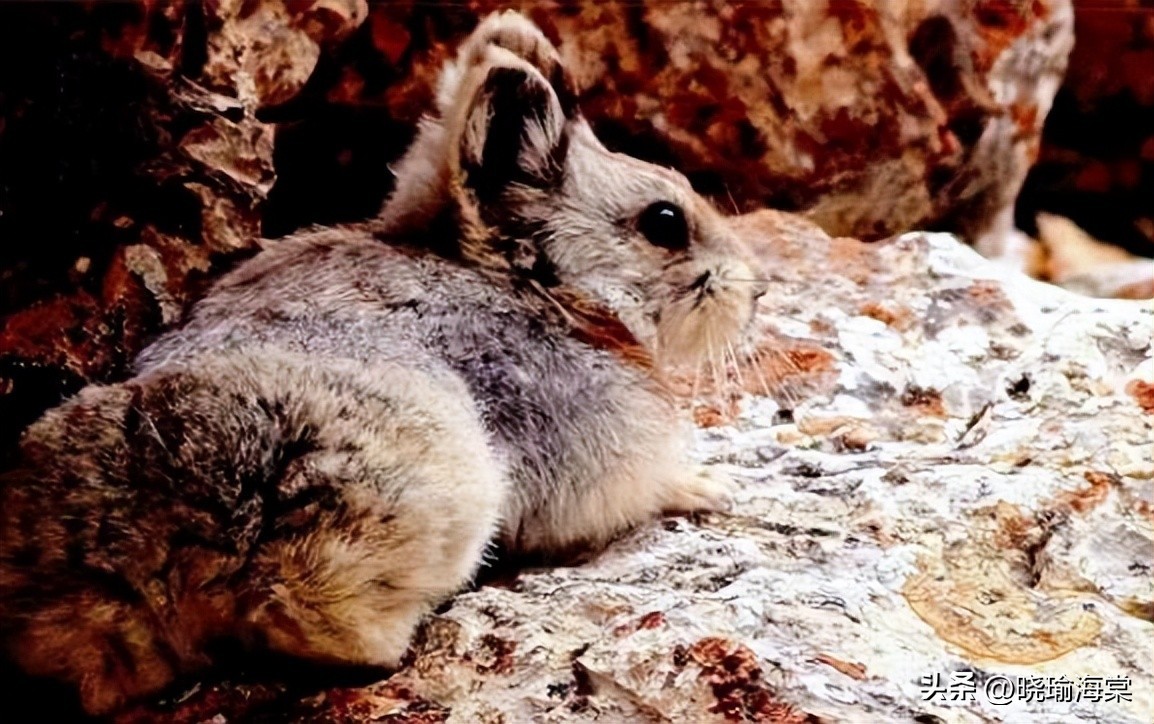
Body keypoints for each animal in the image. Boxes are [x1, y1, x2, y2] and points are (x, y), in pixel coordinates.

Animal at [0, 10, 767, 716]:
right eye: (665, 222)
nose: (755, 288)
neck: (537, 284)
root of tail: (153, 542)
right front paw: (711, 484)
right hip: (429, 476)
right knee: (311, 610)